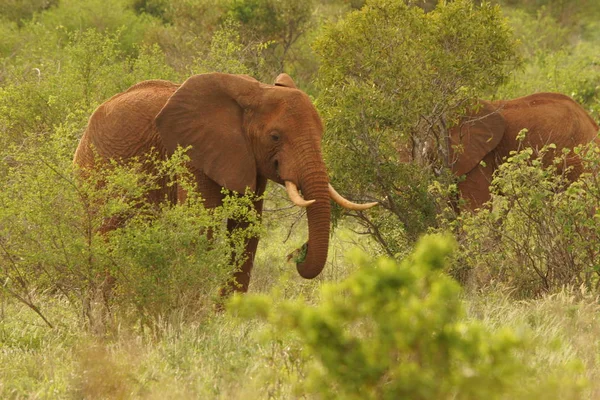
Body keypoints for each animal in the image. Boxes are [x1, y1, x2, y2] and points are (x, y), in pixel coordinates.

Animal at [74, 72, 376, 296]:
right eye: (275, 137)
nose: (298, 251)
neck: (255, 92)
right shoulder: (191, 152)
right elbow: (199, 225)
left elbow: (246, 230)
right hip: (92, 170)